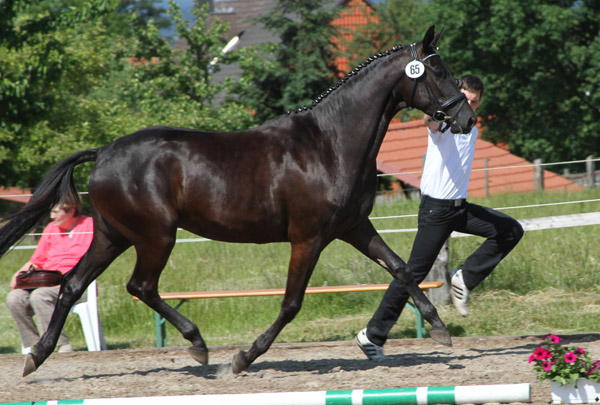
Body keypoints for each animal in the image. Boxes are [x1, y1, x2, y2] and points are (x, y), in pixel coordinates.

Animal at [2, 26, 476, 376]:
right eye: (437, 72)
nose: (467, 118)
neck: (330, 144)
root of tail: (102, 153)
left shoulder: (354, 228)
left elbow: (401, 269)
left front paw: (439, 330)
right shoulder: (308, 238)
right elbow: (291, 303)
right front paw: (244, 357)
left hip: (112, 235)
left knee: (72, 285)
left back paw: (35, 358)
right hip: (155, 236)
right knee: (140, 286)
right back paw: (198, 346)